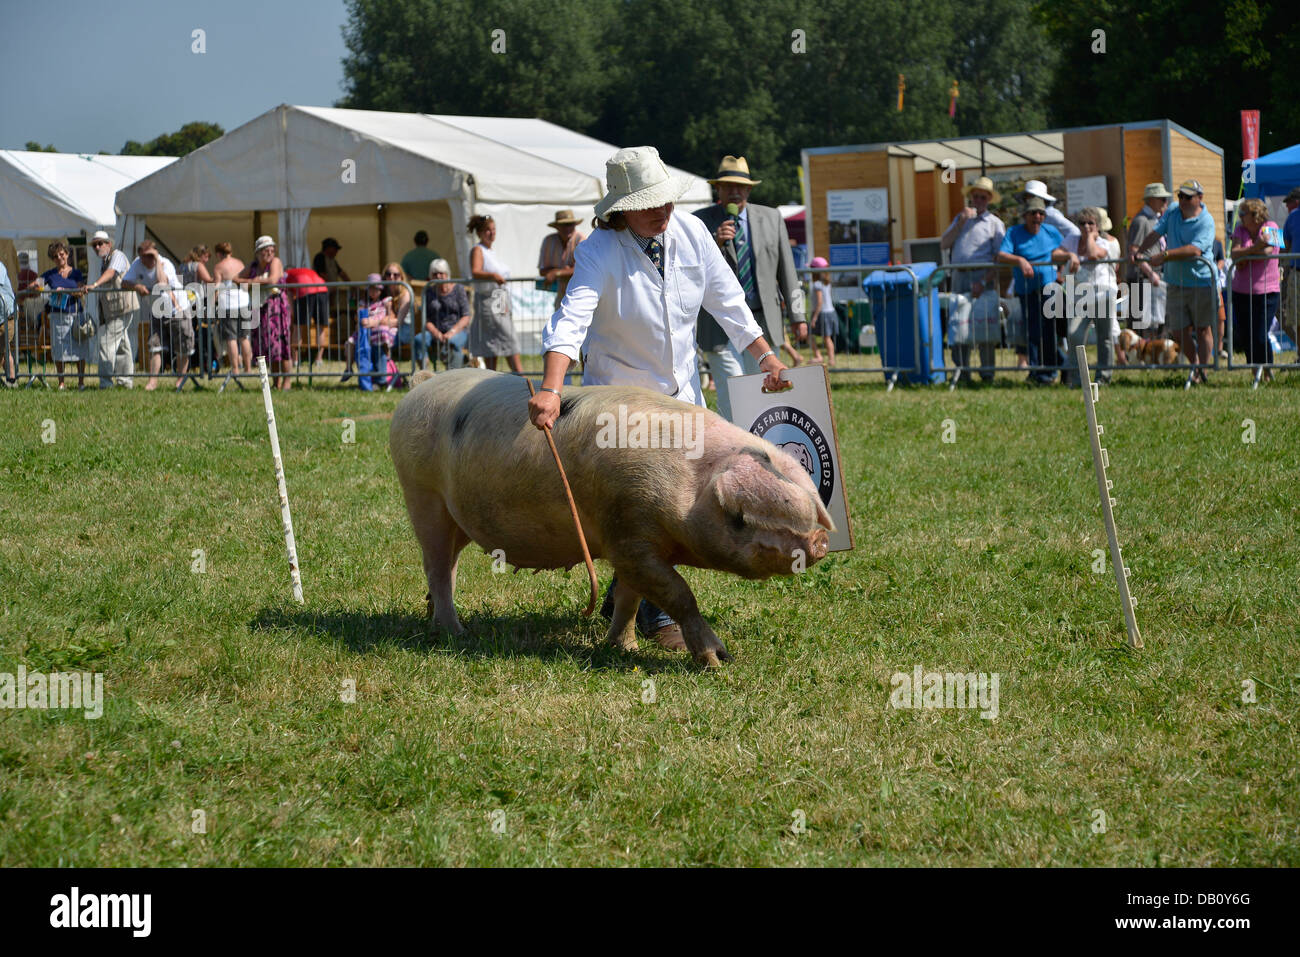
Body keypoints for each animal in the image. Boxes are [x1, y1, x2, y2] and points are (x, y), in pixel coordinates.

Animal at [387, 366, 832, 665]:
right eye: (739, 516)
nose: (820, 540)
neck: (687, 485)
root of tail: (421, 384)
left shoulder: (635, 543)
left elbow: (631, 598)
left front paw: (624, 647)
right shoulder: (630, 535)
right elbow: (679, 594)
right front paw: (718, 660)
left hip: (453, 514)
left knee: (447, 566)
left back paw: (438, 621)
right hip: (420, 494)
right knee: (436, 565)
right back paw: (456, 633)